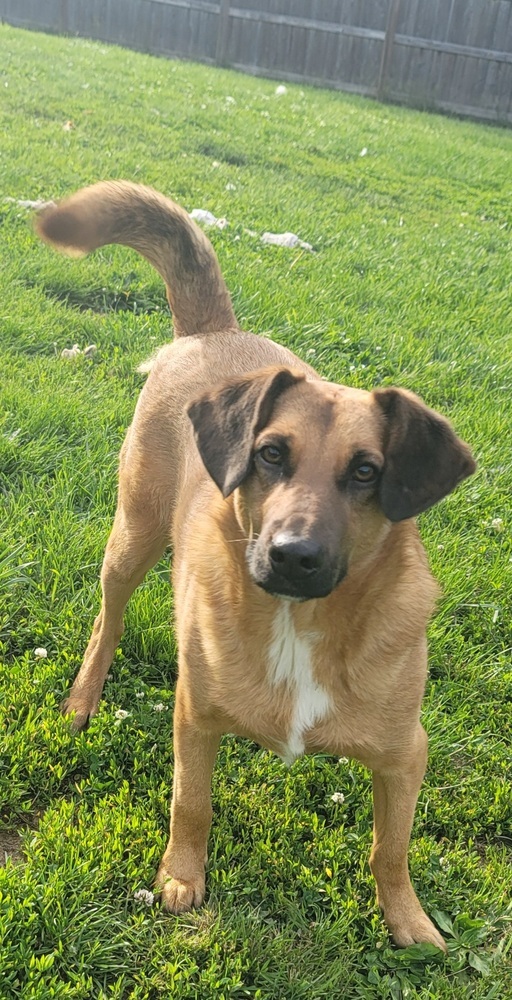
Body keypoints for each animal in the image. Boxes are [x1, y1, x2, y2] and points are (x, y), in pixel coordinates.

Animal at [36, 184, 476, 948]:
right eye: (271, 453)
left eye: (367, 472)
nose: (293, 556)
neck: (299, 626)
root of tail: (215, 333)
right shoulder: (195, 717)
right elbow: (192, 803)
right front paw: (181, 876)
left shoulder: (405, 753)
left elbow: (390, 847)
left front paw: (408, 918)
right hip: (132, 537)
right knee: (105, 623)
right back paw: (82, 701)